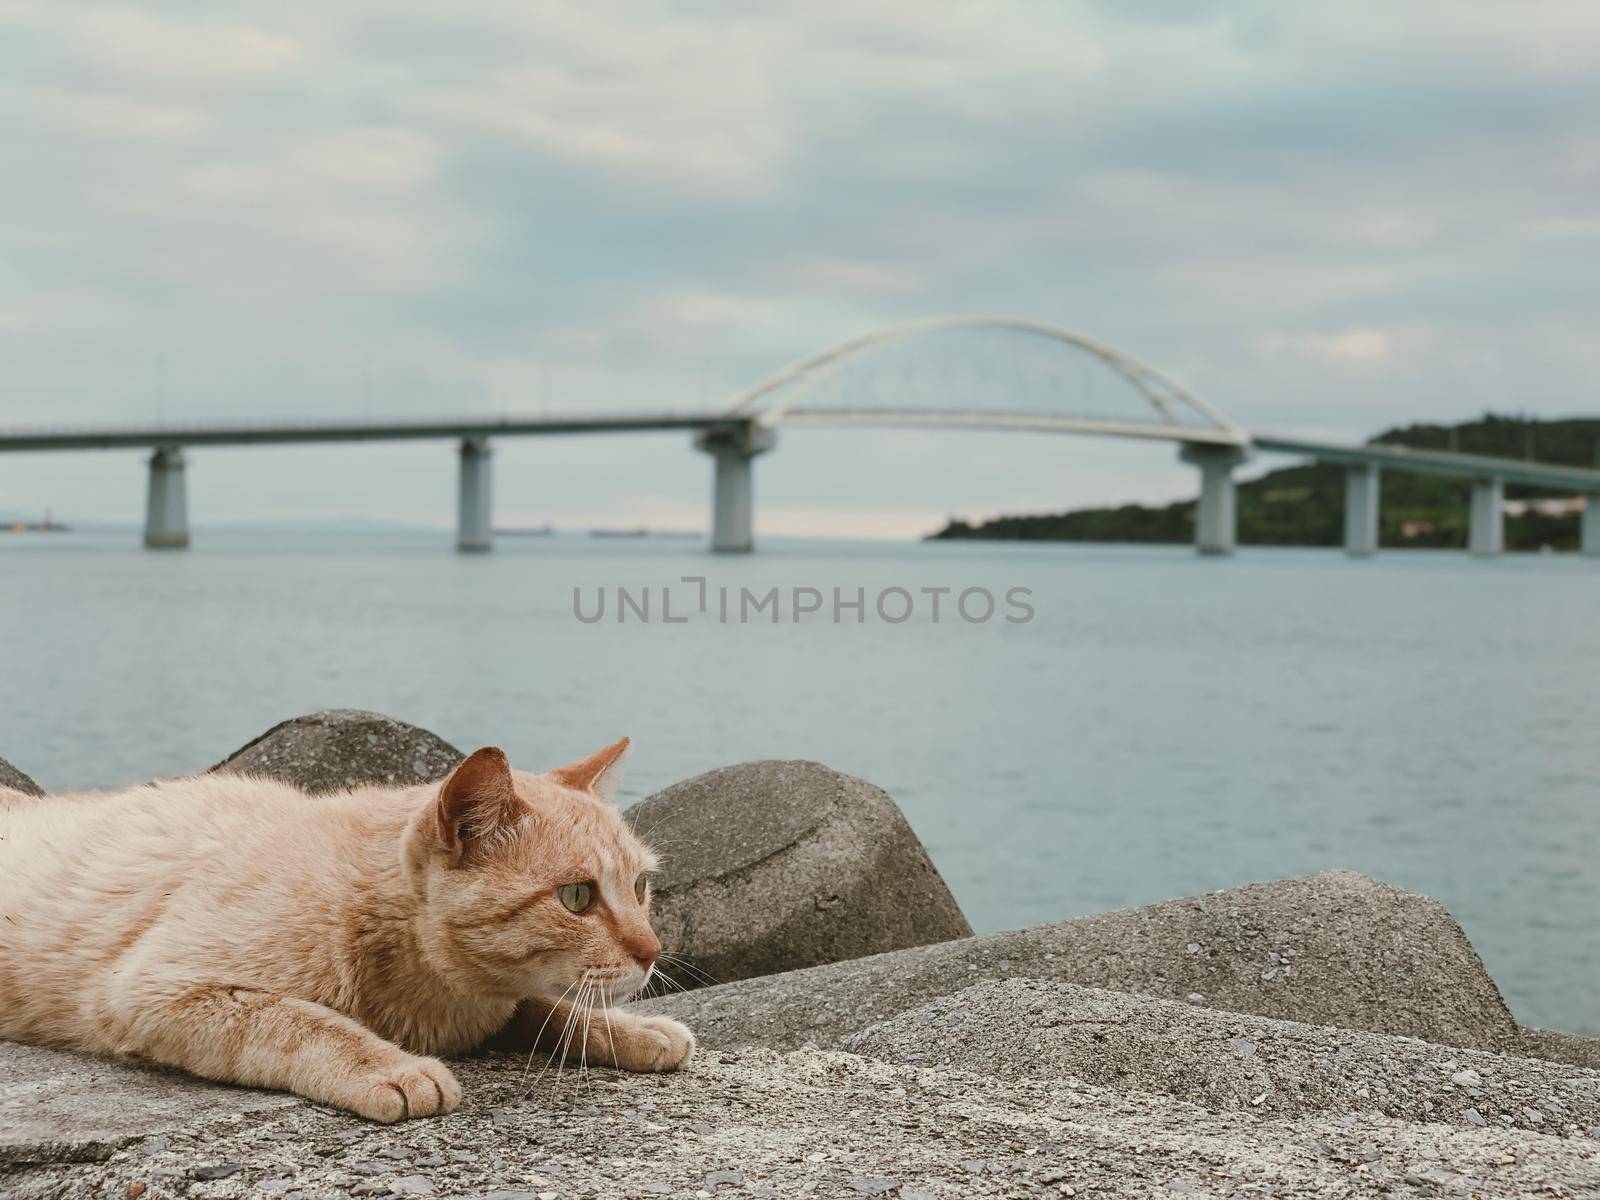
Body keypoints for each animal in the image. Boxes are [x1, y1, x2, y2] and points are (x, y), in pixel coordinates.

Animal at [0, 739, 694, 1126]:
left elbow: (552, 1009)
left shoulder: (497, 1005)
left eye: (639, 886)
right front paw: (391, 1067)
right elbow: (302, 1021)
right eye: (577, 897)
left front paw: (635, 1030)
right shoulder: (155, 989)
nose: (653, 952)